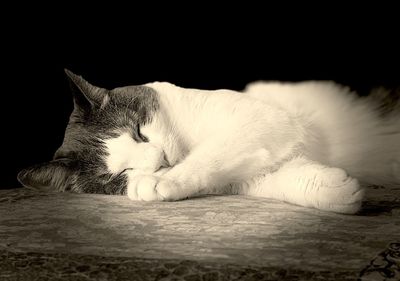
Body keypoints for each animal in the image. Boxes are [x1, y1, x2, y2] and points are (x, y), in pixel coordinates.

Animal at [18, 69, 400, 213]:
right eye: (119, 174)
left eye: (139, 130)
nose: (159, 161)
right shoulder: (252, 166)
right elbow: (275, 177)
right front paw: (336, 189)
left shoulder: (262, 119)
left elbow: (211, 153)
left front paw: (163, 181)